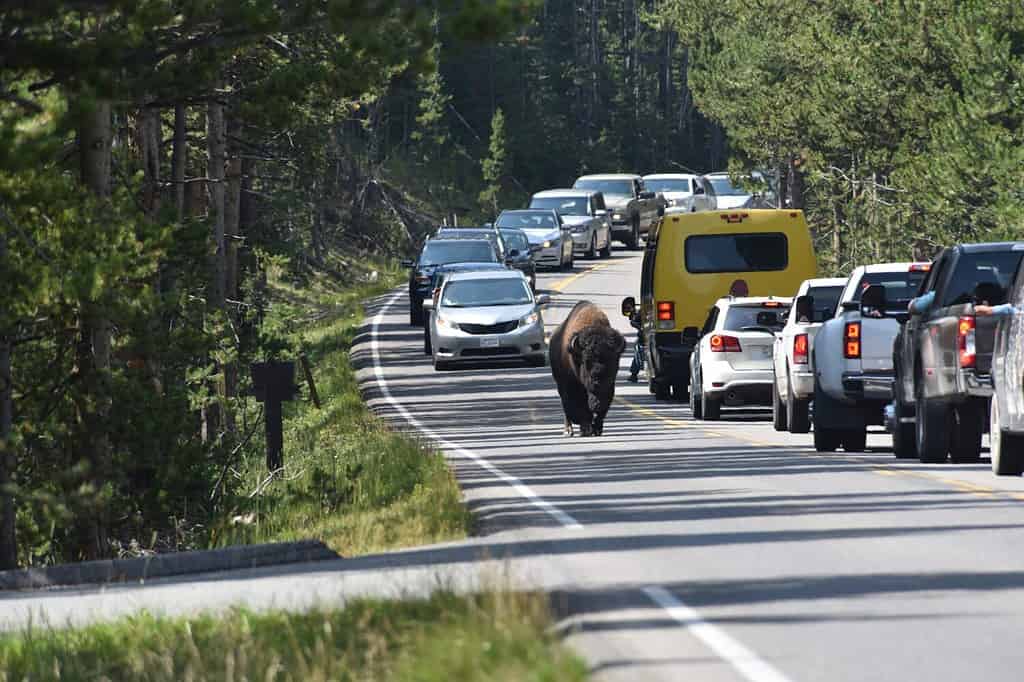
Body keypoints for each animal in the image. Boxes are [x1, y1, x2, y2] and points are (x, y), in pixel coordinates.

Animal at [552, 299, 622, 436]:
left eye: (613, 360)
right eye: (586, 361)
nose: (598, 377)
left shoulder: (608, 388)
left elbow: (601, 411)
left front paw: (597, 429)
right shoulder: (573, 387)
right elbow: (579, 408)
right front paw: (586, 429)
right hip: (560, 385)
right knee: (566, 408)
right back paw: (568, 430)